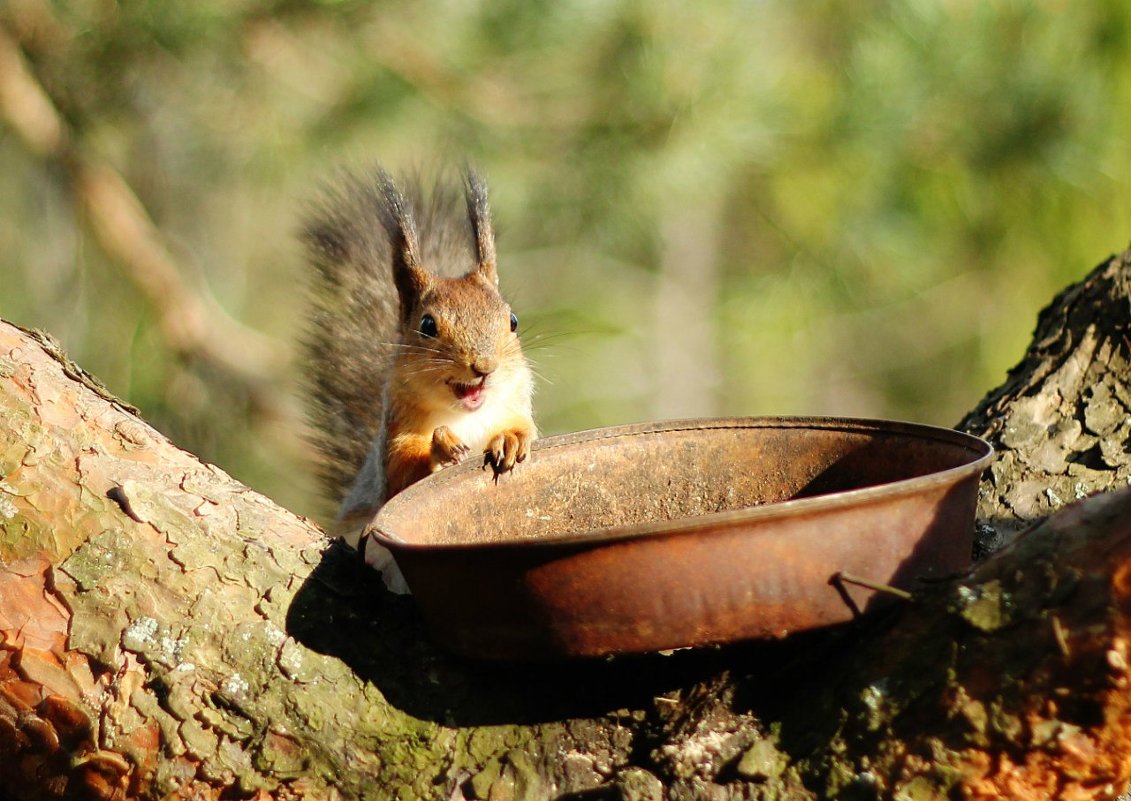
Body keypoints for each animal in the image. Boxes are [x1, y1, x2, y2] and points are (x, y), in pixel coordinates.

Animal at [303, 167, 536, 588]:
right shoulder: (396, 434)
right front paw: (442, 445)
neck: (467, 414)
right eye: (427, 325)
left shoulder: (515, 404)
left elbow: (523, 429)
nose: (484, 366)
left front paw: (509, 439)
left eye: (512, 321)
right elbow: (402, 477)